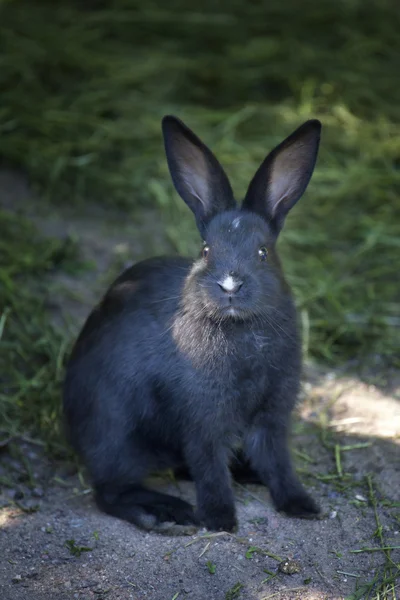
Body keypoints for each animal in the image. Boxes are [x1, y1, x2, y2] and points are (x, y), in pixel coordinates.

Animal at [65, 116, 322, 536]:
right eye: (205, 251)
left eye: (263, 253)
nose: (230, 286)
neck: (241, 330)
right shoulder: (202, 418)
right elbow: (209, 466)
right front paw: (220, 519)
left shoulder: (273, 414)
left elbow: (277, 462)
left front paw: (301, 506)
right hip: (115, 431)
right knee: (110, 491)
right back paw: (166, 514)